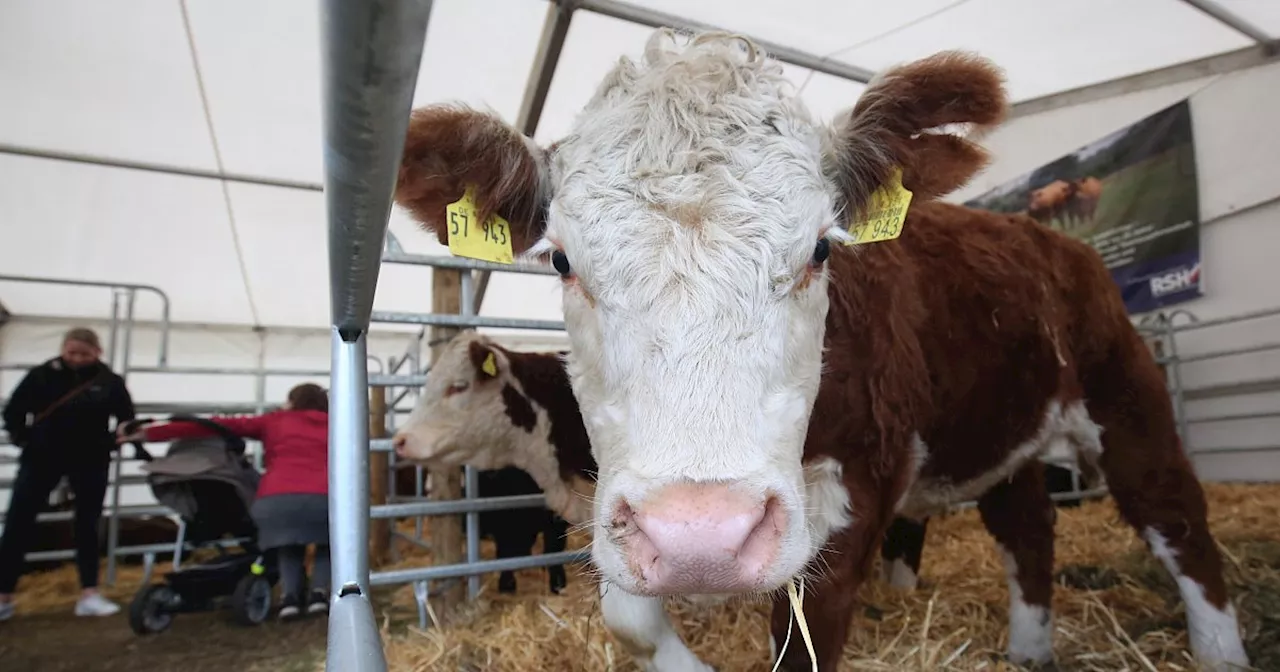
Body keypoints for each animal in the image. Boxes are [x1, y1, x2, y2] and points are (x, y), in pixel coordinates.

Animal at [391, 28, 1249, 665]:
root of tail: (1051, 239)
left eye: (821, 248)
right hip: (1002, 432)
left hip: (1125, 395)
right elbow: (629, 619)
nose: (702, 536)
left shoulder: (855, 494)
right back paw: (1029, 651)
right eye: (563, 261)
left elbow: (804, 641)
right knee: (1028, 530)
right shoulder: (621, 512)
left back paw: (1220, 650)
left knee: (1177, 519)